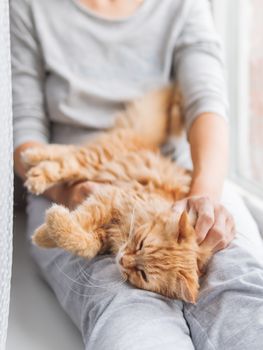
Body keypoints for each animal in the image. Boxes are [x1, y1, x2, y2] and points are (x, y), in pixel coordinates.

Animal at [22, 86, 212, 302]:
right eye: (141, 244)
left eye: (142, 274)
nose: (122, 259)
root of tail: (143, 140)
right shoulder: (110, 198)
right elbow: (79, 220)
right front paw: (44, 232)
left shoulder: (102, 235)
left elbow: (83, 243)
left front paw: (45, 233)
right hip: (96, 159)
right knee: (65, 159)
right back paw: (34, 167)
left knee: (68, 151)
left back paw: (32, 158)